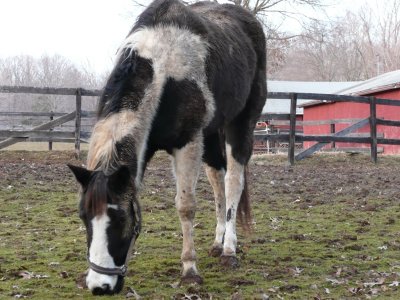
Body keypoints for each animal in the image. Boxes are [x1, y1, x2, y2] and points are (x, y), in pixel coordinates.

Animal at [68, 0, 266, 296]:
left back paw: (229, 250)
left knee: (233, 181)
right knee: (217, 179)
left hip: (240, 124)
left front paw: (190, 270)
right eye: (84, 216)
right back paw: (218, 242)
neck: (163, 66)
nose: (99, 286)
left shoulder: (188, 143)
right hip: (211, 135)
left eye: (121, 219)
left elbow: (186, 206)